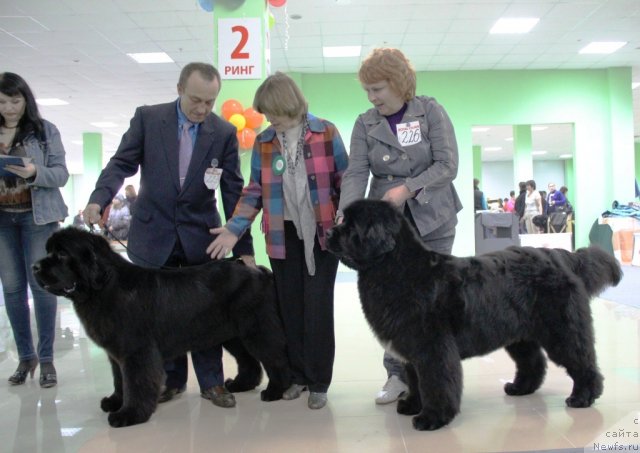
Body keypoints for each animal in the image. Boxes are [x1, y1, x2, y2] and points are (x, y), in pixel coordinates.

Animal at [32, 228, 288, 426]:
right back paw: (241, 384)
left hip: (257, 330)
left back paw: (276, 391)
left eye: (62, 254)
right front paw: (115, 402)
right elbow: (119, 380)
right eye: (48, 251)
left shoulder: (137, 352)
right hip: (232, 335)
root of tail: (259, 271)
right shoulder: (117, 353)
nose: (34, 266)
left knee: (276, 357)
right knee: (249, 361)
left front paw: (129, 415)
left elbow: (136, 382)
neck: (104, 286)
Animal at [324, 200, 620, 430]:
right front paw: (411, 405)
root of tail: (561, 256)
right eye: (342, 220)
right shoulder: (411, 348)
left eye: (350, 226)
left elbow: (435, 382)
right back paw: (520, 388)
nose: (327, 232)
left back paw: (583, 397)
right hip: (518, 332)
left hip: (561, 329)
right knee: (533, 362)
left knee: (581, 361)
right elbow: (415, 380)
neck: (397, 268)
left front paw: (432, 418)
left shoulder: (432, 348)